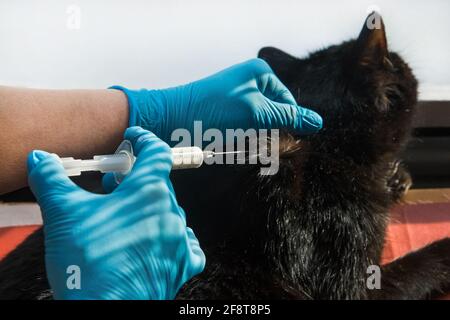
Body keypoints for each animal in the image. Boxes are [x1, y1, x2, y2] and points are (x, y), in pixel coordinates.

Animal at [0, 14, 450, 300]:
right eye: (399, 65)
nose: (406, 63)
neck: (328, 149)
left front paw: (398, 178)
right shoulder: (352, 280)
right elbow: (414, 265)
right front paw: (442, 247)